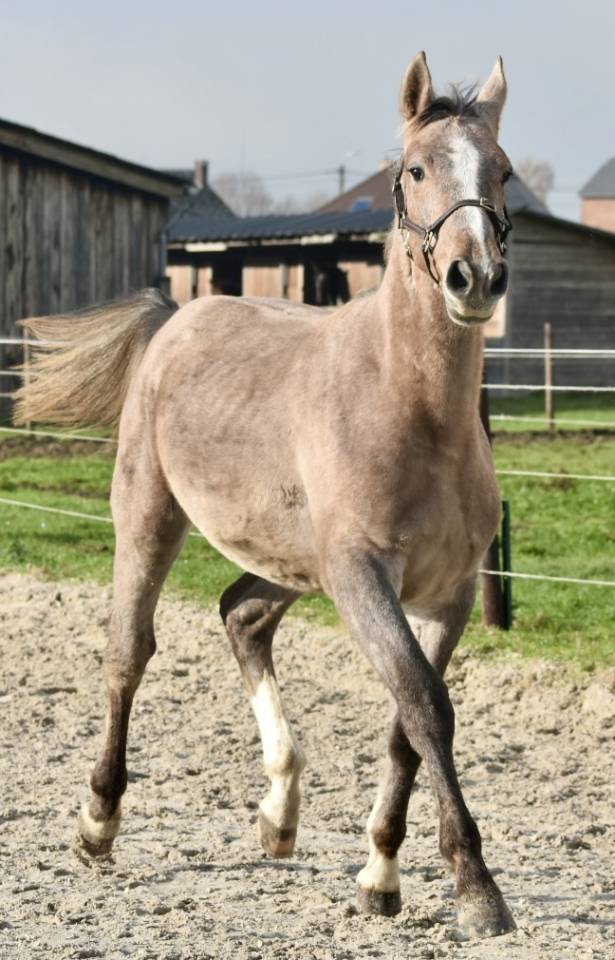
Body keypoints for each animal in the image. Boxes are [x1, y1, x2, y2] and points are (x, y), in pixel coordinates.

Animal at [15, 52, 516, 939]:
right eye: (415, 169)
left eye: (503, 171)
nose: (475, 277)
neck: (416, 412)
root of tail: (175, 316)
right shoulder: (363, 577)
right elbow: (425, 707)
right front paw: (475, 888)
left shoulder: (446, 593)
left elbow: (406, 724)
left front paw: (380, 875)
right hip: (150, 517)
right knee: (127, 653)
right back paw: (98, 823)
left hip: (290, 561)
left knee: (241, 615)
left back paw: (279, 810)